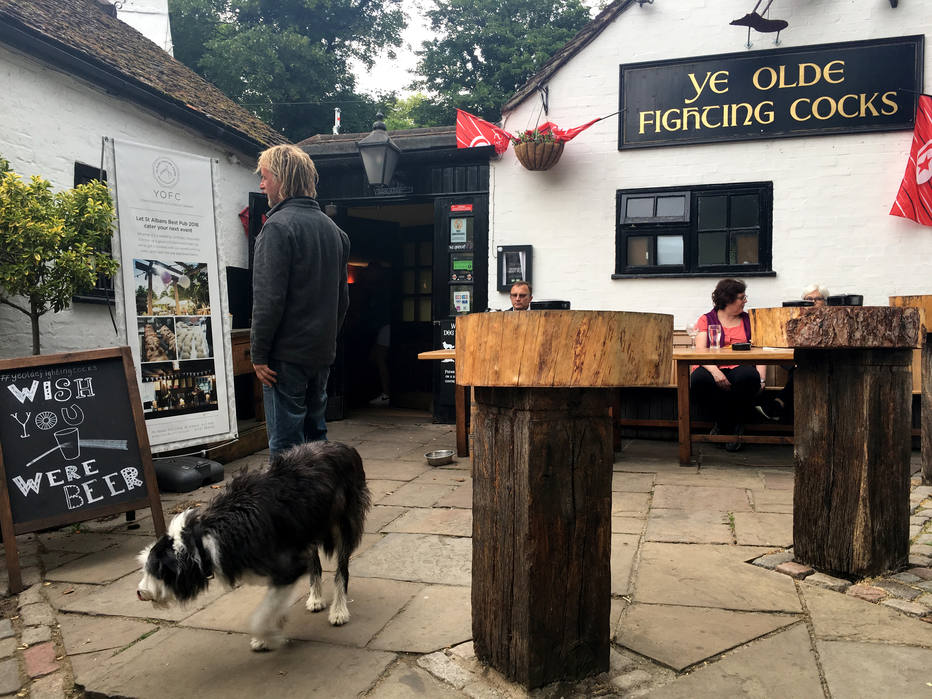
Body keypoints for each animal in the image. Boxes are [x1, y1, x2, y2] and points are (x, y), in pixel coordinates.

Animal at [137, 442, 370, 652]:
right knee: (316, 565)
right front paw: (273, 628)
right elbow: (273, 603)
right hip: (309, 529)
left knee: (341, 571)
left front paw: (267, 636)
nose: (139, 593)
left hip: (344, 525)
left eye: (157, 571)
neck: (206, 539)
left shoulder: (288, 567)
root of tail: (343, 446)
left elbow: (262, 613)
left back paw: (339, 610)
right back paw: (316, 598)